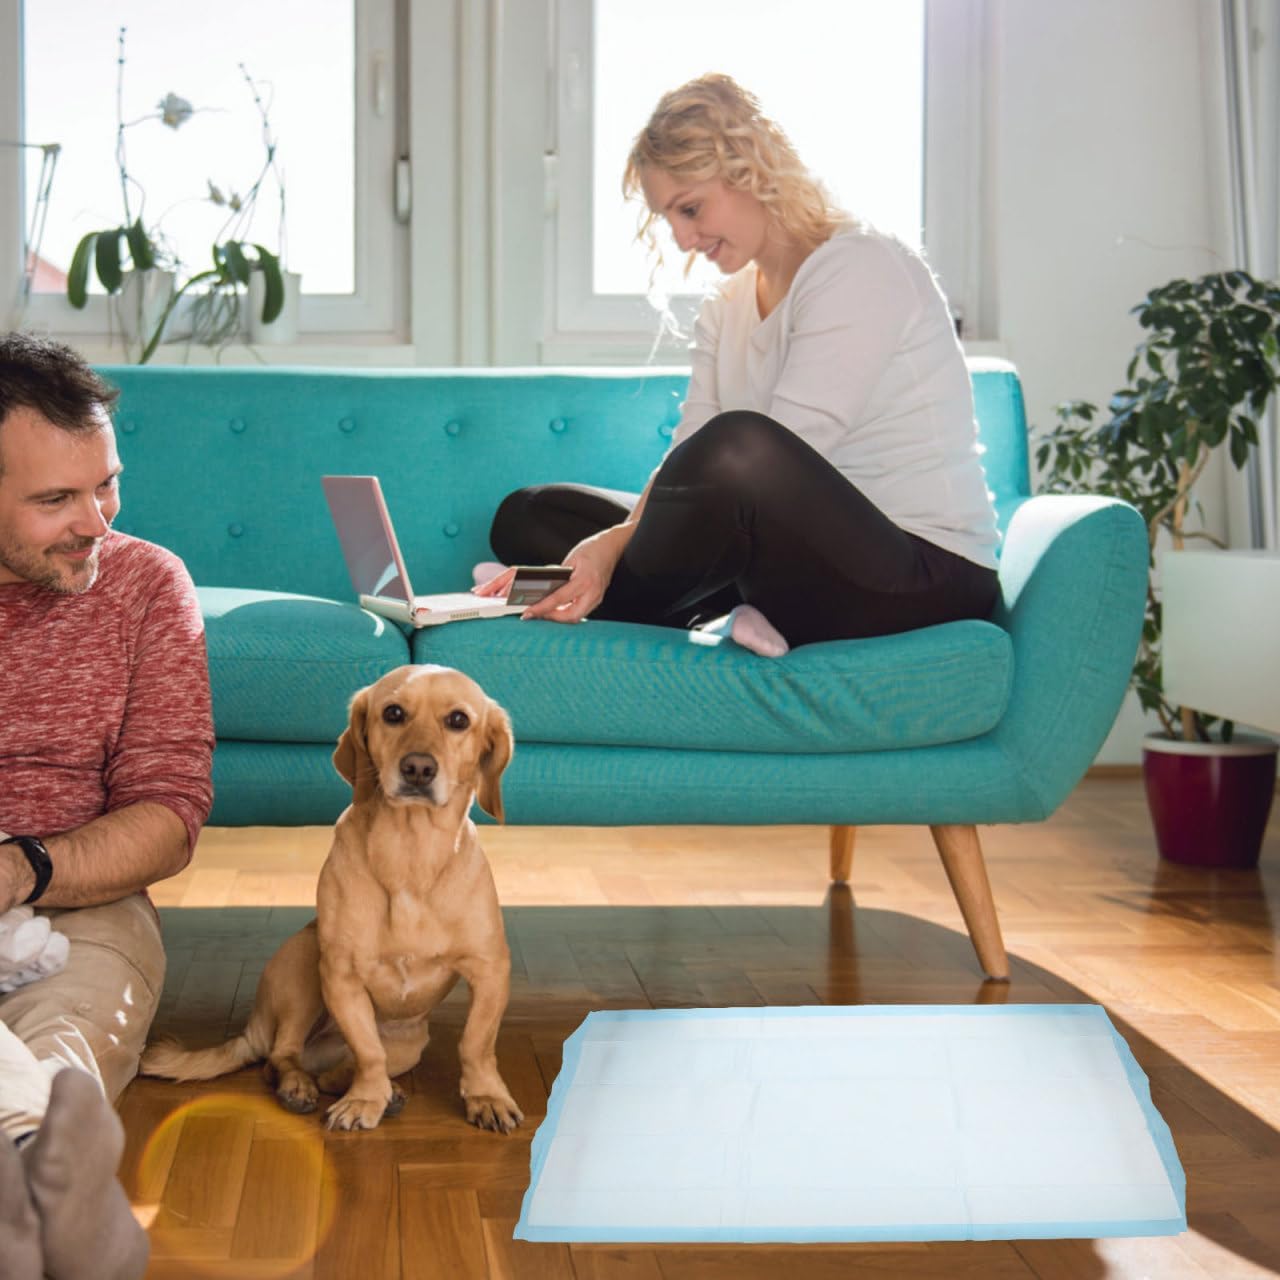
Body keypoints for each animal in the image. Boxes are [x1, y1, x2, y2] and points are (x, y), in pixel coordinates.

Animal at [141, 664, 523, 1133]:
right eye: (393, 713)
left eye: (458, 720)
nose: (417, 768)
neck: (410, 854)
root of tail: (254, 1031)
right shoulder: (341, 976)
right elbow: (368, 1052)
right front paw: (364, 1100)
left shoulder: (490, 970)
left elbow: (476, 1044)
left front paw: (486, 1096)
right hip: (305, 963)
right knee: (281, 1057)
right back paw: (302, 1087)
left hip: (409, 1044)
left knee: (330, 1072)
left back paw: (384, 1093)